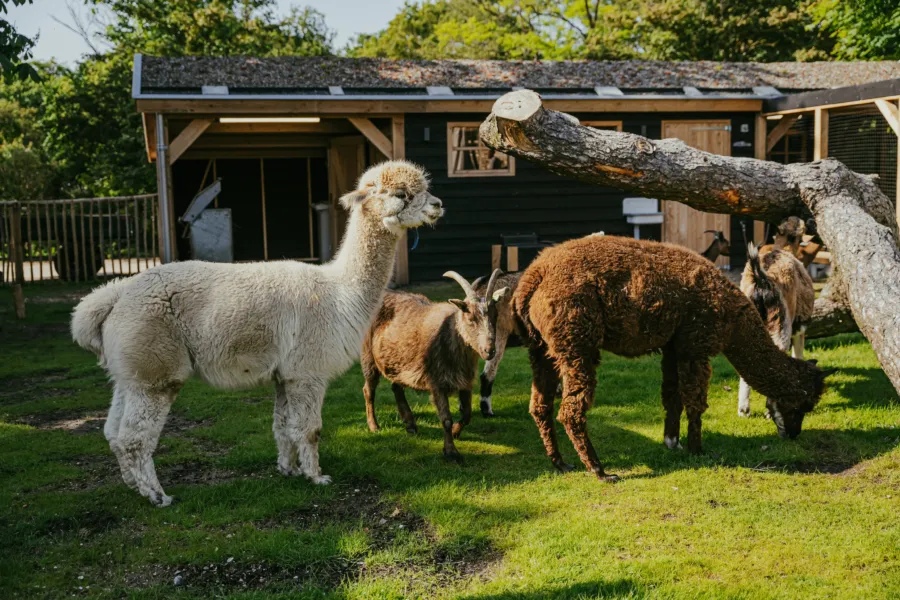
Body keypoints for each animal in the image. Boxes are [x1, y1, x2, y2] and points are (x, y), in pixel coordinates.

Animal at [362, 270, 510, 462]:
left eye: (495, 315)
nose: (489, 350)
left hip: (397, 361)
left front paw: (455, 432)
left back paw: (410, 423)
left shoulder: (465, 382)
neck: (451, 334)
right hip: (368, 357)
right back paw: (374, 426)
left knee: (396, 387)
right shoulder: (436, 381)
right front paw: (451, 452)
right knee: (369, 390)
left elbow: (467, 413)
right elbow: (446, 418)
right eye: (470, 318)